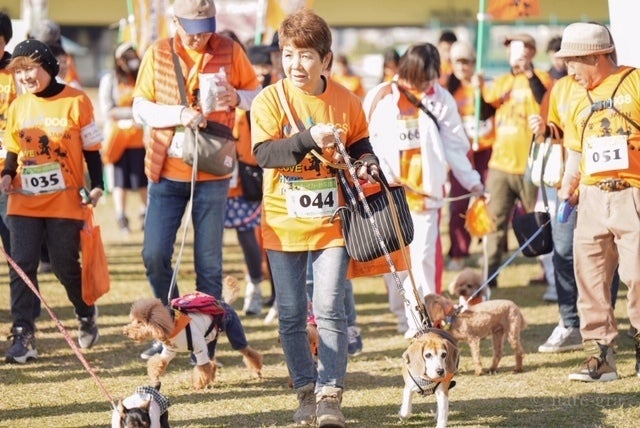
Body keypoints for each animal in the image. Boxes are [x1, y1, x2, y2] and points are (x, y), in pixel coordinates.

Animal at [123, 278, 262, 389]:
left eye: (139, 322)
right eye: (133, 320)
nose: (125, 332)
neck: (173, 325)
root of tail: (225, 303)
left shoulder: (199, 348)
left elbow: (202, 368)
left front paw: (198, 385)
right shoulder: (169, 350)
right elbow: (158, 362)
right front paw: (155, 376)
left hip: (234, 331)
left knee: (247, 352)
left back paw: (257, 371)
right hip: (210, 341)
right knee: (212, 361)